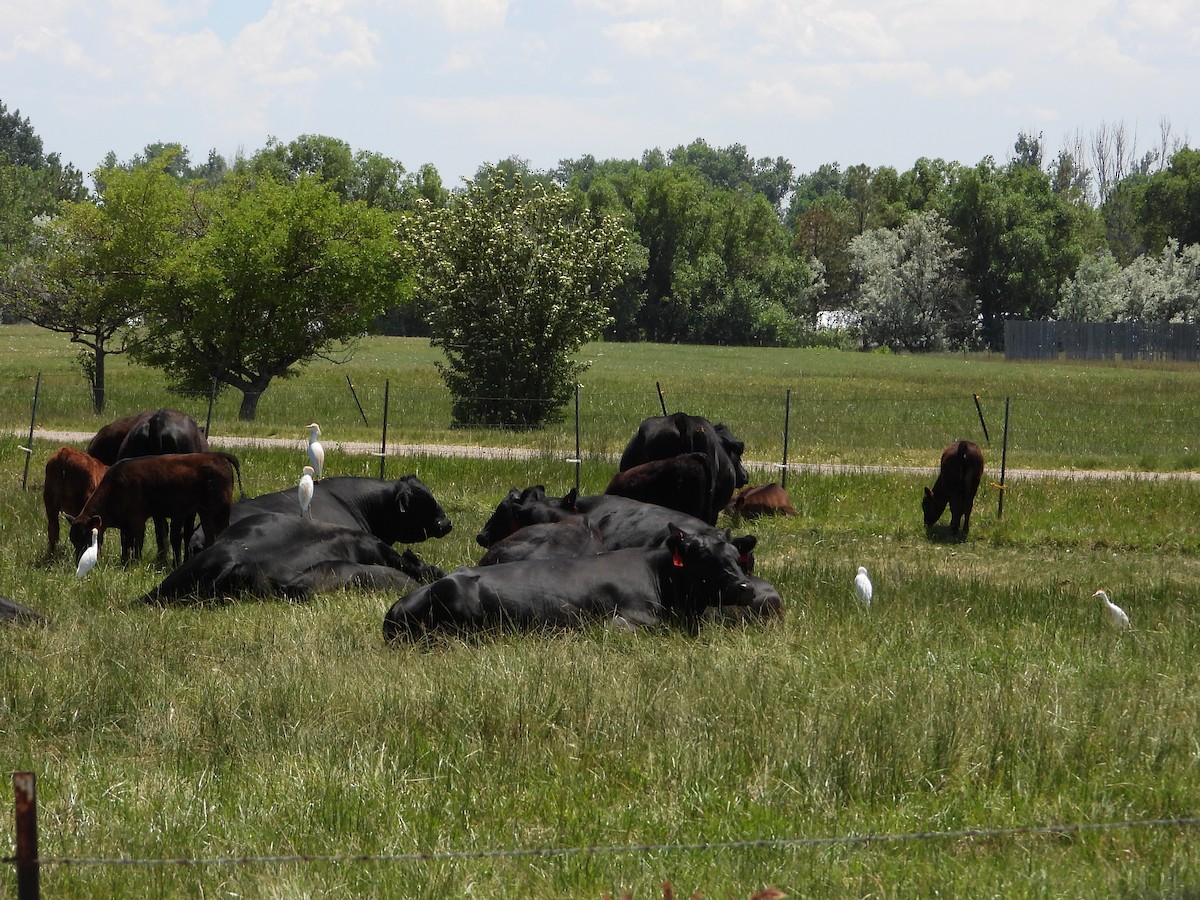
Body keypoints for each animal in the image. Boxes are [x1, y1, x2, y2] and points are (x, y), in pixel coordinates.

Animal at [69, 452, 243, 566]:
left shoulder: (137, 519)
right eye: (72, 539)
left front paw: (135, 562)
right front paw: (124, 560)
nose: (79, 561)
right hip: (204, 511)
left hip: (221, 509)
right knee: (209, 533)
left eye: (86, 537)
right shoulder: (125, 524)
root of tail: (218, 456)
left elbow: (137, 541)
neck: (115, 487)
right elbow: (125, 542)